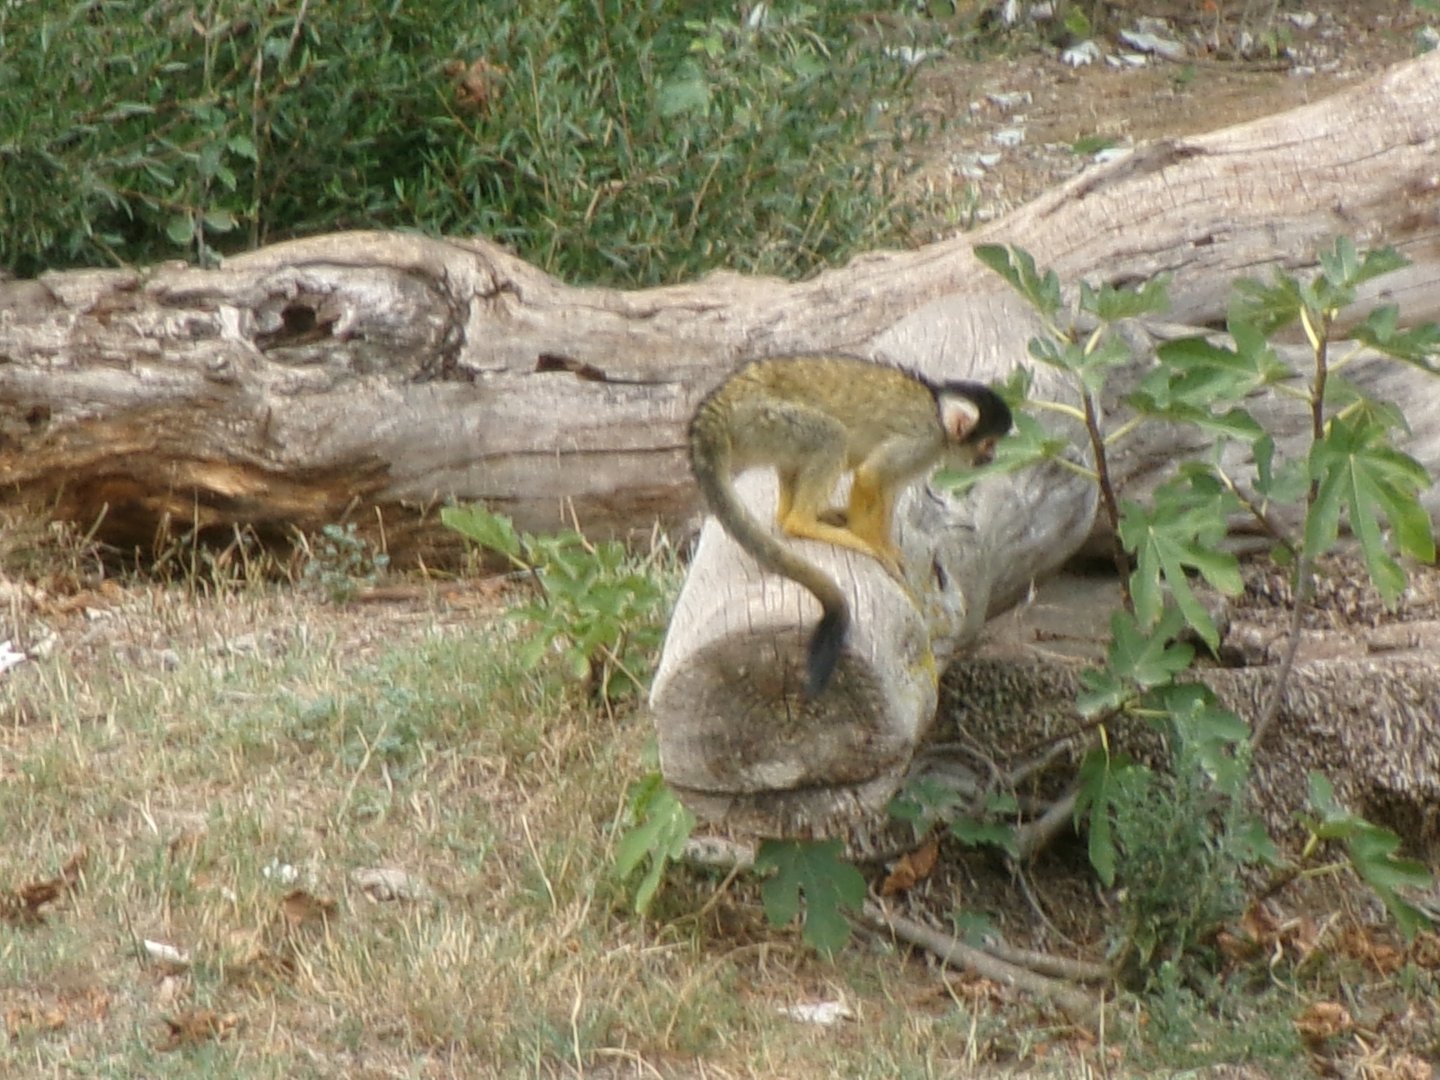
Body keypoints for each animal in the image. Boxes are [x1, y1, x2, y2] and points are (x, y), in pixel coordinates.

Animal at [688, 353, 1013, 698]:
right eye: (988, 444)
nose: (991, 458)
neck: (939, 417)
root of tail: (719, 403)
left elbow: (888, 488)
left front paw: (886, 544)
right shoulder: (923, 440)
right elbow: (872, 476)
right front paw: (876, 545)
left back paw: (796, 514)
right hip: (762, 420)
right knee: (830, 436)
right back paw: (802, 521)